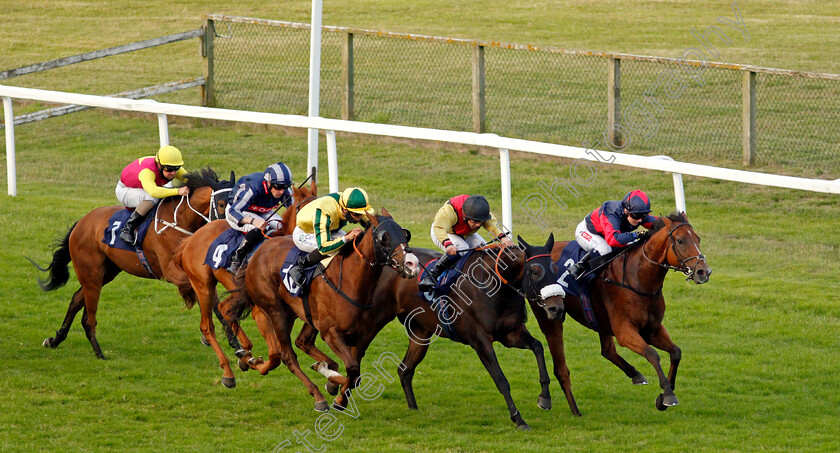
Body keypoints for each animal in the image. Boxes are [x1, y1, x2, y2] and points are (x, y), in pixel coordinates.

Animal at [31, 168, 231, 358]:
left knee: (76, 299)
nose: (227, 230)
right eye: (221, 204)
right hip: (91, 274)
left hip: (106, 272)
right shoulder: (171, 272)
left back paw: (55, 340)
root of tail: (81, 222)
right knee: (88, 313)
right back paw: (99, 352)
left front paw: (229, 341)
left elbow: (215, 302)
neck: (179, 220)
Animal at [167, 175, 318, 386]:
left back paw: (243, 353)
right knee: (208, 326)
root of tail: (192, 238)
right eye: (302, 210)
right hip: (203, 285)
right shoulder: (261, 313)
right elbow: (276, 354)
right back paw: (229, 371)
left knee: (225, 312)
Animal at [223, 210, 420, 412]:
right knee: (287, 356)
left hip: (297, 313)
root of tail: (258, 253)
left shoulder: (361, 334)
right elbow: (353, 369)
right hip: (276, 310)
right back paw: (317, 395)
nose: (412, 264)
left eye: (405, 234)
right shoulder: (330, 331)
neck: (351, 281)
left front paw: (335, 385)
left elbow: (355, 375)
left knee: (292, 346)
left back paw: (252, 360)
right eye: (384, 237)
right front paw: (339, 397)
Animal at [372, 235, 576, 430]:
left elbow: (538, 347)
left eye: (555, 268)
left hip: (420, 332)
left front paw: (545, 398)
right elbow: (501, 380)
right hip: (377, 315)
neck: (497, 288)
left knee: (405, 370)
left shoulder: (511, 334)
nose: (557, 309)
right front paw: (519, 419)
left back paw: (413, 408)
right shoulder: (480, 341)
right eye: (535, 271)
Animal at [532, 212, 708, 410]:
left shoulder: (652, 329)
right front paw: (668, 394)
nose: (704, 272)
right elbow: (652, 354)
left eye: (698, 239)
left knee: (607, 350)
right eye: (680, 241)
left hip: (599, 318)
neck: (638, 278)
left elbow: (676, 352)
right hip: (550, 315)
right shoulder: (625, 331)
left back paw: (635, 374)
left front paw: (663, 397)